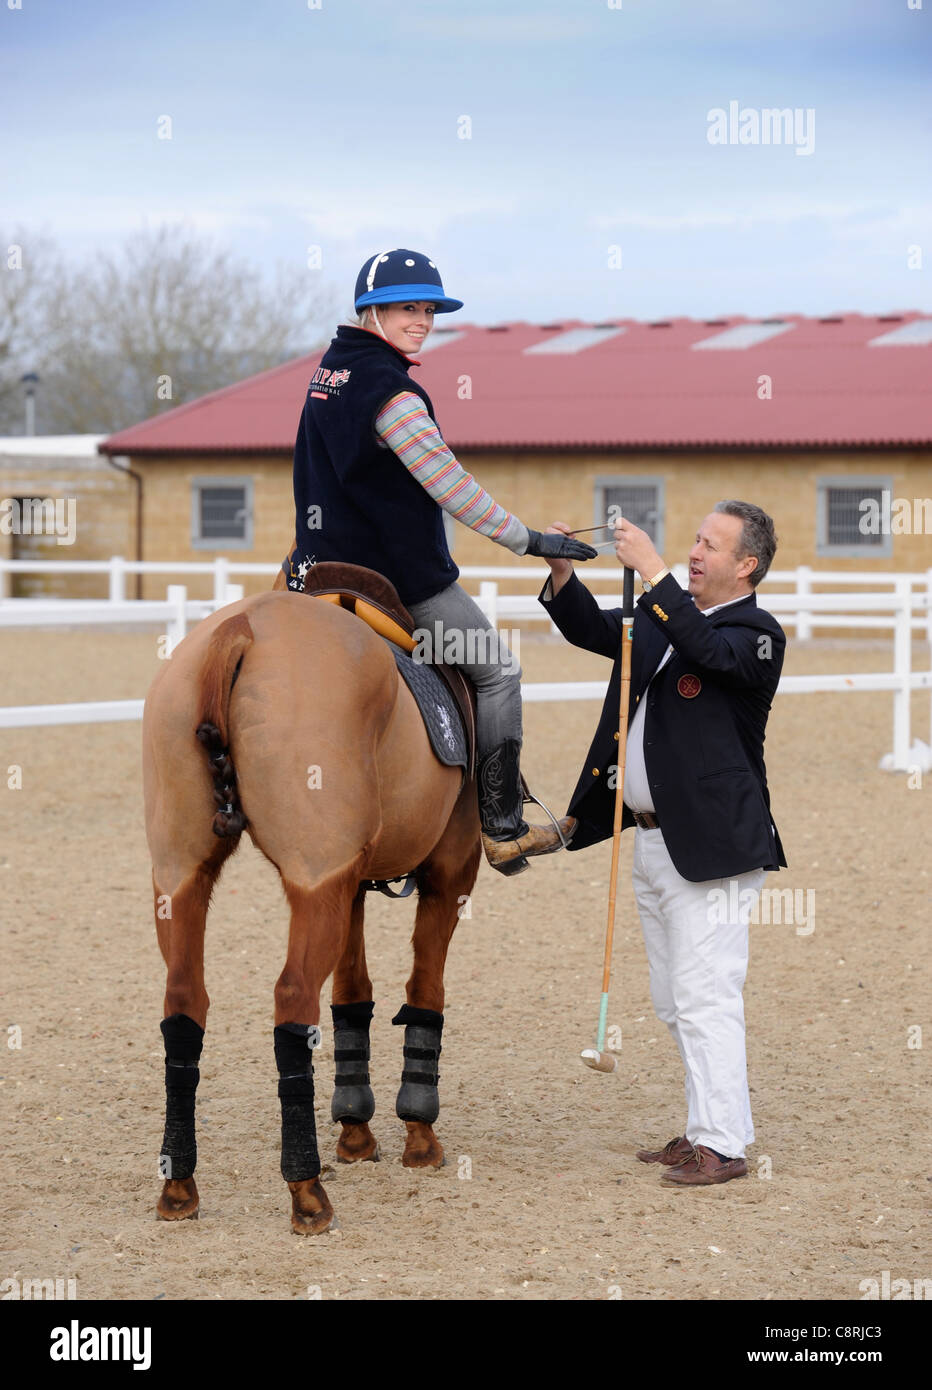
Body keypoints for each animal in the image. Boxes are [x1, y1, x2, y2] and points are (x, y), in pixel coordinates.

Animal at [145, 583, 486, 1228]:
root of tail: (242, 629)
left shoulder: (347, 883)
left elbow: (353, 994)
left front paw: (355, 1130)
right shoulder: (449, 870)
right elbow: (424, 988)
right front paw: (418, 1132)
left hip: (184, 878)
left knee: (184, 1002)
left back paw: (179, 1186)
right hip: (316, 881)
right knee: (293, 998)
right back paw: (306, 1190)